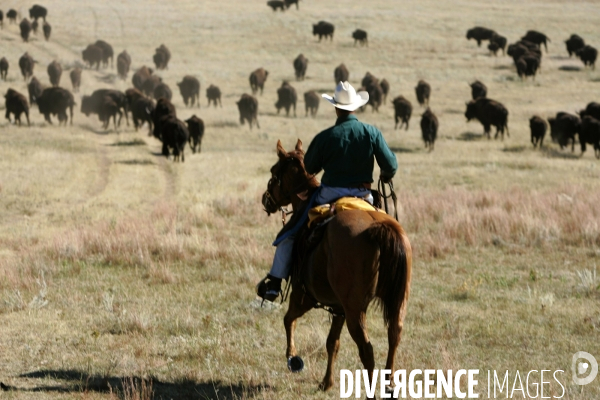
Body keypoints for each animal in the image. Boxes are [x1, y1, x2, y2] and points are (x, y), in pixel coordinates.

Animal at [262, 139, 412, 396]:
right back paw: (390, 383)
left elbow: (288, 320)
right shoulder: (338, 307)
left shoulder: (303, 296)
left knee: (367, 349)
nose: (265, 199)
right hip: (395, 302)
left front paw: (292, 357)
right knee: (394, 334)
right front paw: (326, 382)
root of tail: (379, 228)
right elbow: (333, 342)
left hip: (354, 310)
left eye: (274, 171)